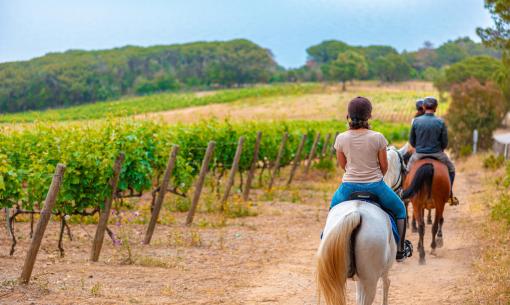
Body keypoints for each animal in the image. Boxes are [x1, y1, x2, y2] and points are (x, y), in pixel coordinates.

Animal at [316, 144, 408, 304]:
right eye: (404, 169)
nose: (402, 193)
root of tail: (356, 214)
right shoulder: (384, 272)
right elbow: (386, 286)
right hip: (369, 280)